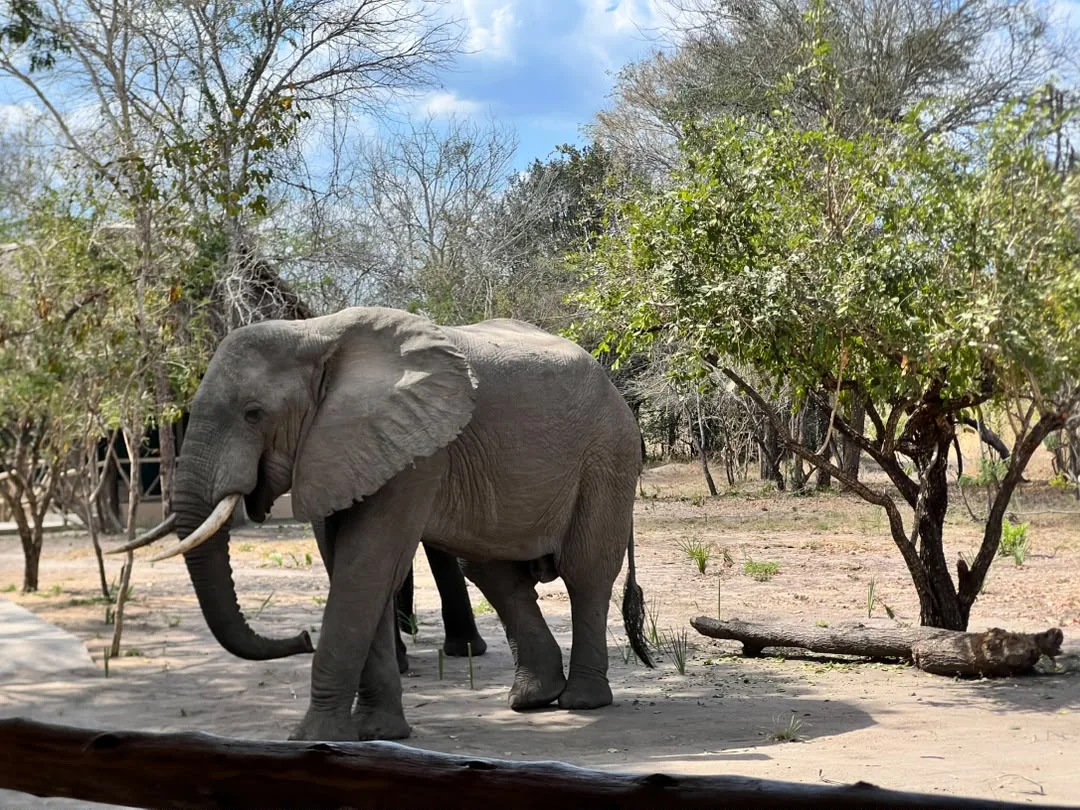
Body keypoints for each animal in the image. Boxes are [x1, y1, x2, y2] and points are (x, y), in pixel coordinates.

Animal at [131, 306, 653, 742]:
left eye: (253, 414)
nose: (301, 638)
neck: (315, 335)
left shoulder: (414, 447)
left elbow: (367, 562)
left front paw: (315, 738)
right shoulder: (338, 446)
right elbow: (351, 564)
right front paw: (377, 733)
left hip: (608, 453)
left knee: (585, 571)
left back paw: (582, 702)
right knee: (493, 573)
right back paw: (531, 699)